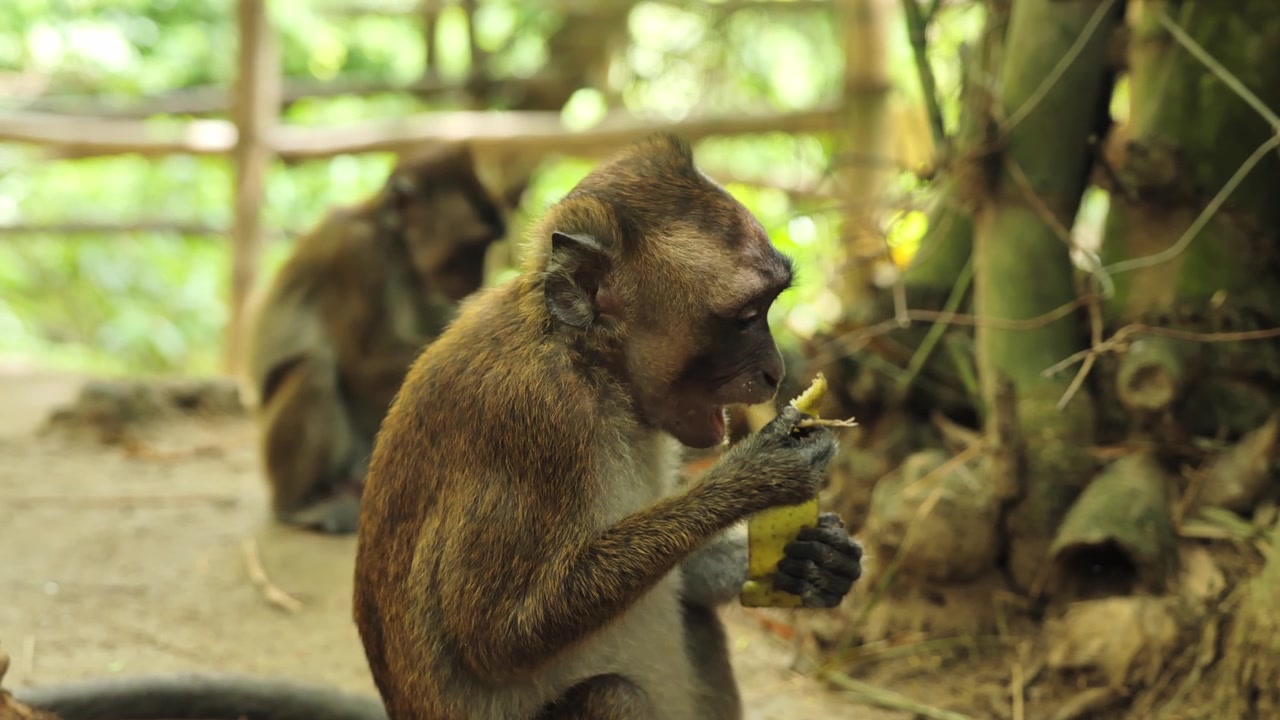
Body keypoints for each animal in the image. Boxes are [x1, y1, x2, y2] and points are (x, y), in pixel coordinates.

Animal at [245, 141, 517, 535]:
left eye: (484, 249)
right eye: (467, 249)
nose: (476, 279)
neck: (395, 247)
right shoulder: (355, 255)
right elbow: (359, 364)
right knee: (313, 371)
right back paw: (302, 503)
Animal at [352, 133, 864, 720]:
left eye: (768, 307)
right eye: (745, 317)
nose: (775, 370)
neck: (589, 362)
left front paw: (813, 561)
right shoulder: (539, 417)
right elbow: (493, 636)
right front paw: (757, 477)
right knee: (611, 693)